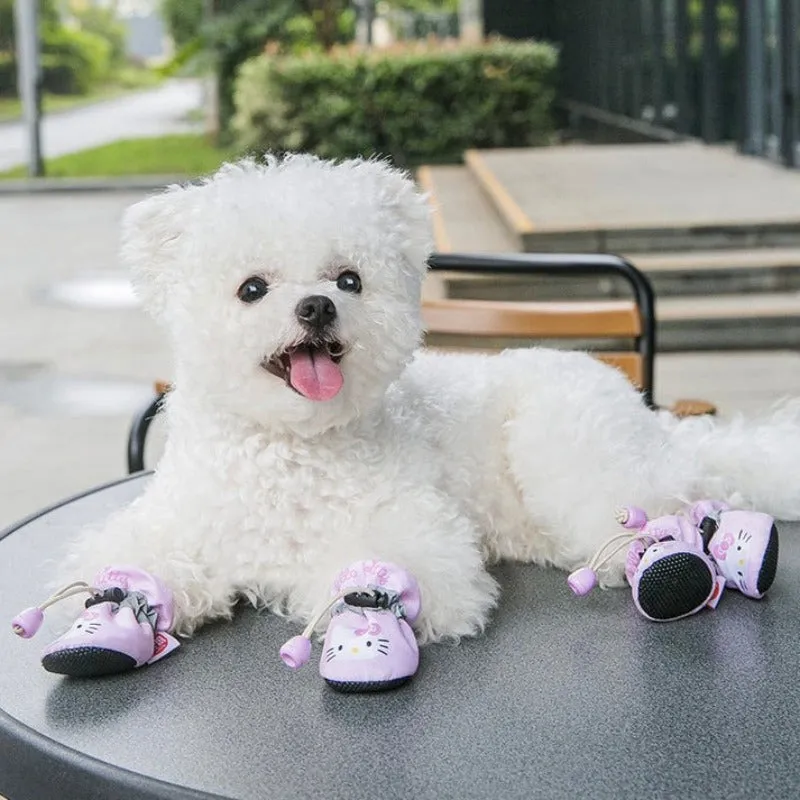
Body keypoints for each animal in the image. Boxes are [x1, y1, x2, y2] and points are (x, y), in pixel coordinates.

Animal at [61, 155, 800, 644]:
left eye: (349, 279)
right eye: (251, 289)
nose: (317, 306)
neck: (292, 445)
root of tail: (654, 420)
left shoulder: (413, 527)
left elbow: (400, 571)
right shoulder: (178, 519)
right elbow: (141, 556)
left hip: (565, 439)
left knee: (666, 505)